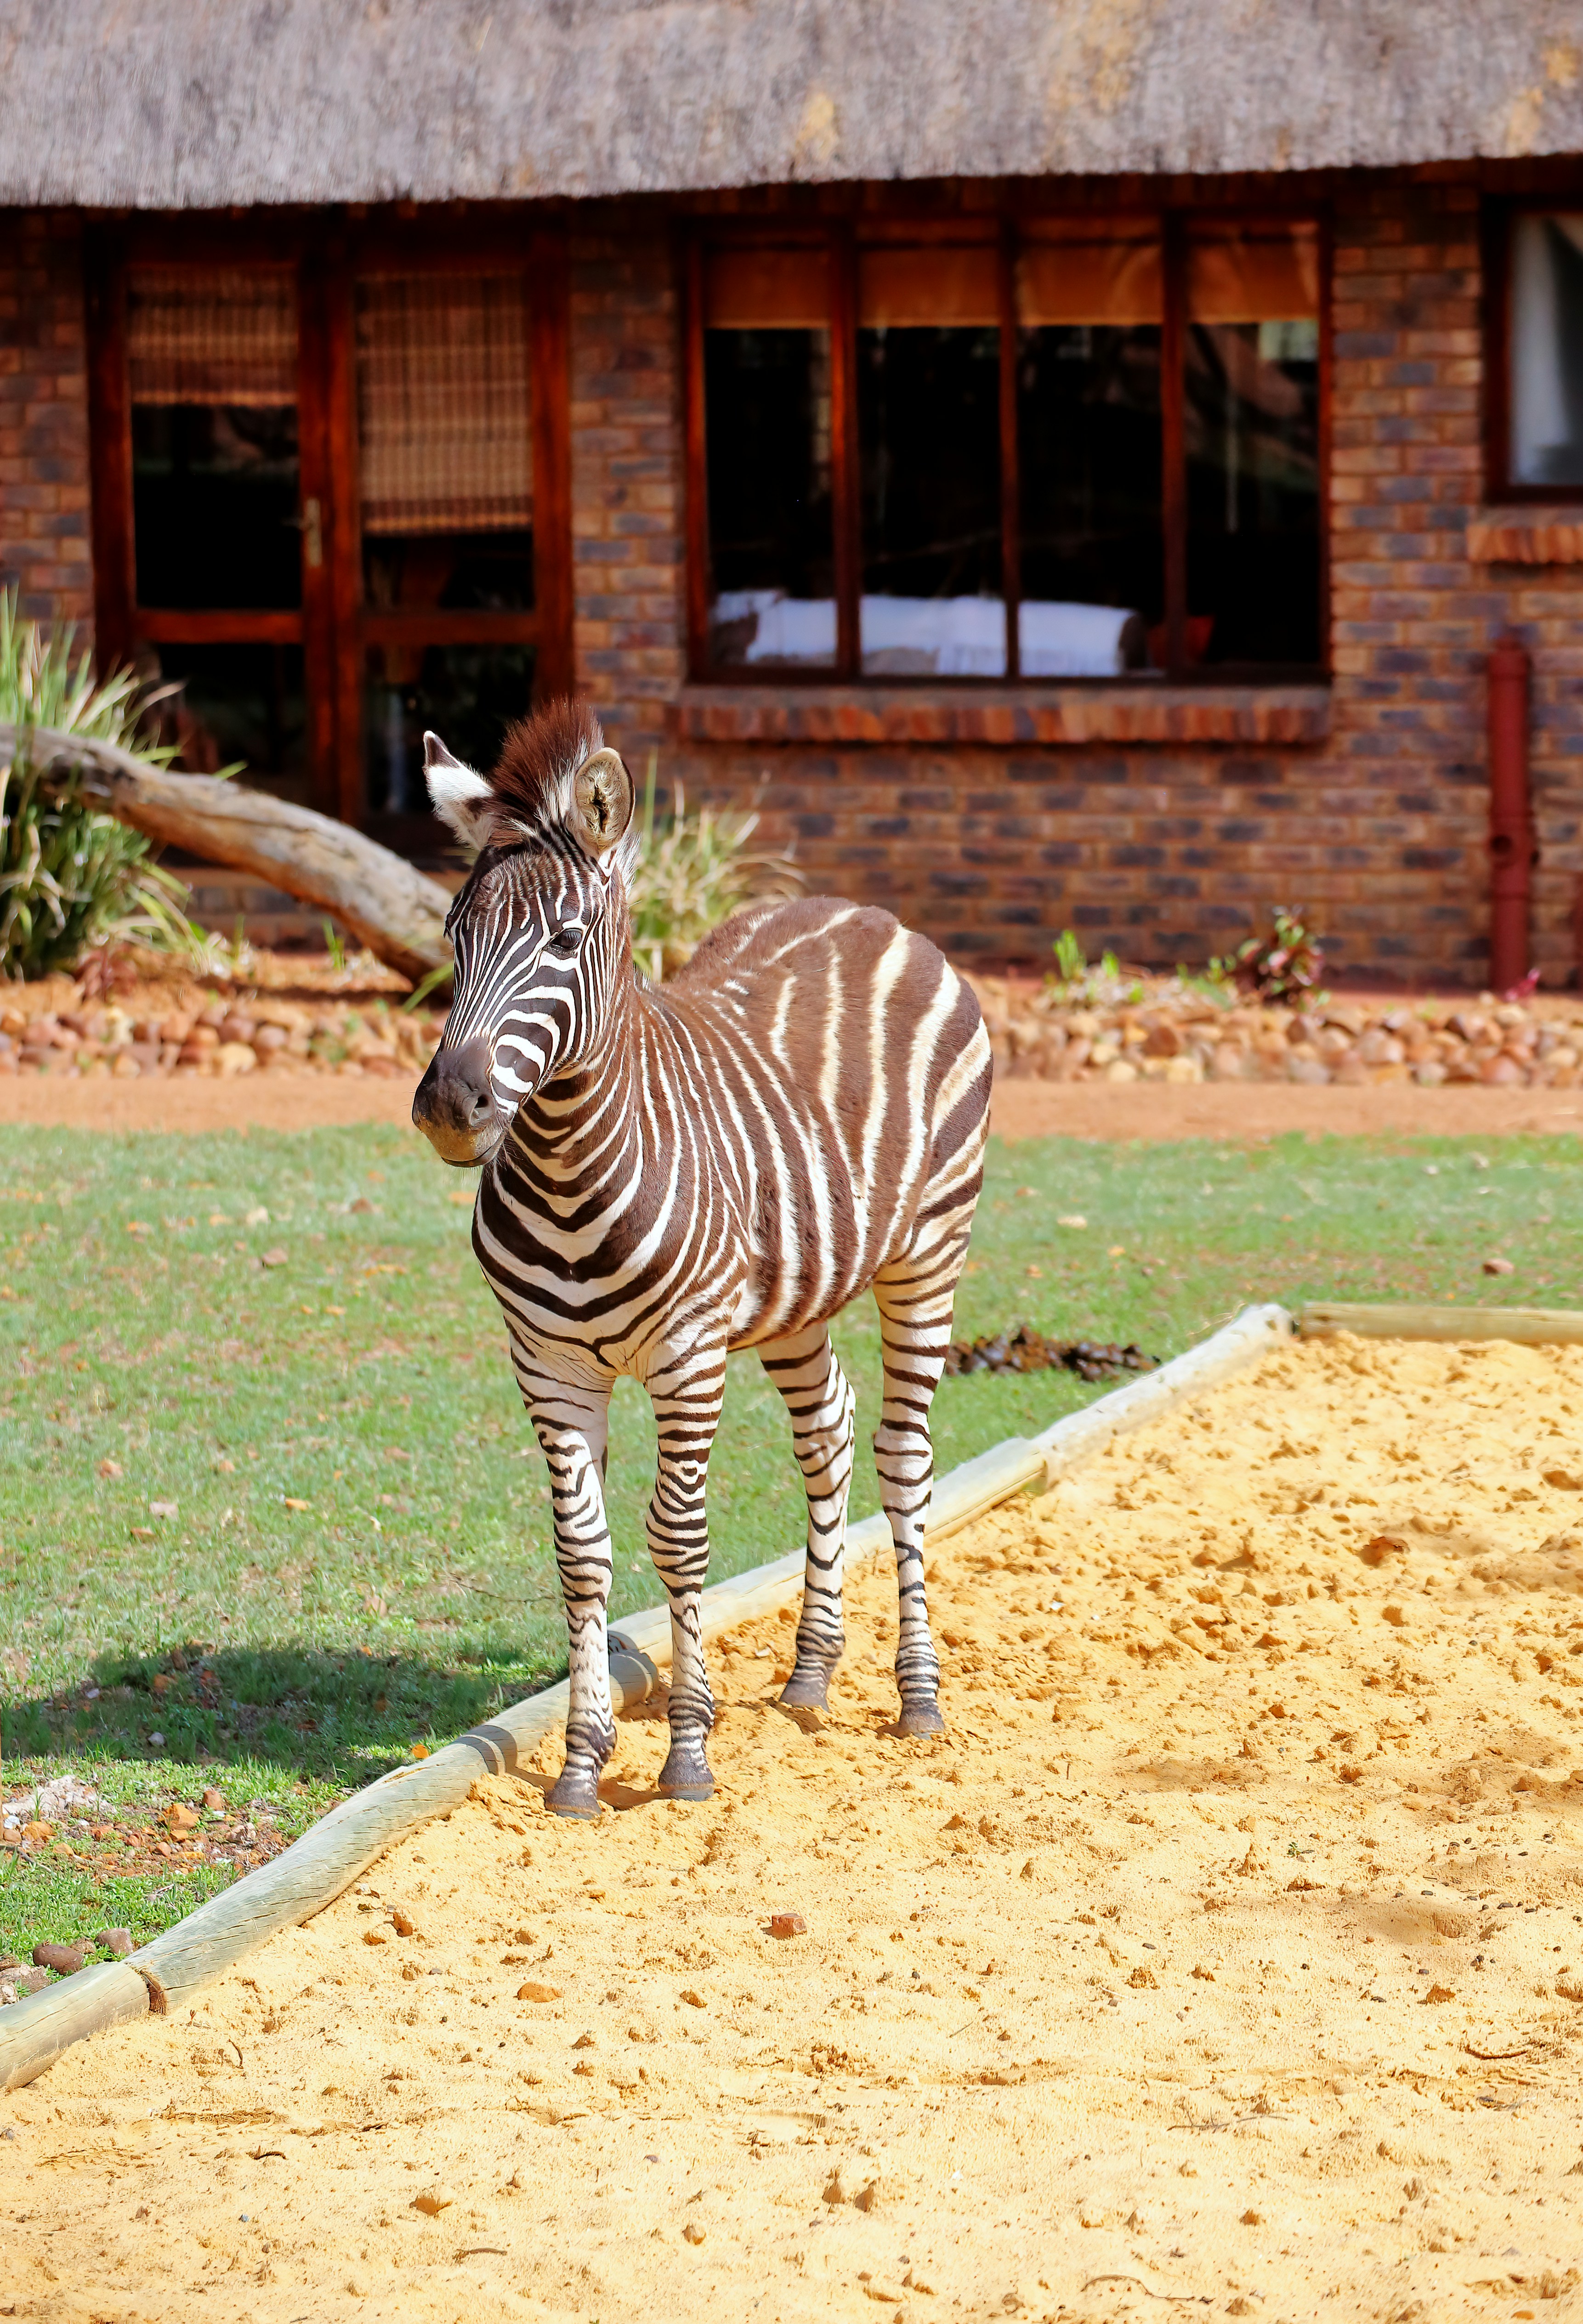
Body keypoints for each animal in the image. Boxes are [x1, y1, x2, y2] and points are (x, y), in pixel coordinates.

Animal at [411, 700, 991, 1819]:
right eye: (453, 937)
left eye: (565, 940)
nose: (450, 1107)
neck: (572, 1170)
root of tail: (866, 912)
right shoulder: (546, 1367)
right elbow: (582, 1554)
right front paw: (583, 1763)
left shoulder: (687, 1358)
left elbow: (677, 1539)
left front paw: (685, 1754)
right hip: (798, 1290)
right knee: (829, 1433)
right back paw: (810, 1672)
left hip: (929, 1252)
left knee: (903, 1458)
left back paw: (919, 1696)